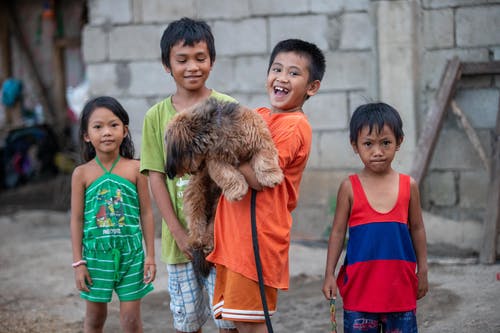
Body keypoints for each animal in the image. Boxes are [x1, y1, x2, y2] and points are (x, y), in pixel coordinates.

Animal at [166, 96, 284, 274]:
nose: (169, 171)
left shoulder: (258, 138)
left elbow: (265, 157)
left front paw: (271, 176)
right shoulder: (216, 160)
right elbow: (227, 174)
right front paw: (237, 191)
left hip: (215, 208)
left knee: (210, 227)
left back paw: (208, 242)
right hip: (196, 193)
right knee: (196, 219)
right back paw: (197, 240)